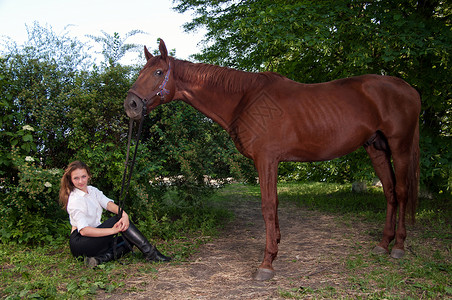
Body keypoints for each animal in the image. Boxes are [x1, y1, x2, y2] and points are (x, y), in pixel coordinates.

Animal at [123, 38, 420, 280]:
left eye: (158, 72)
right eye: (141, 72)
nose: (131, 105)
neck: (244, 99)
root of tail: (409, 89)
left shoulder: (265, 159)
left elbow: (267, 206)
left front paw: (266, 264)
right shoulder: (271, 162)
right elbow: (274, 205)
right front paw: (275, 246)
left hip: (400, 147)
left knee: (401, 192)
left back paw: (399, 247)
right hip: (376, 149)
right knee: (389, 192)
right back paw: (382, 245)